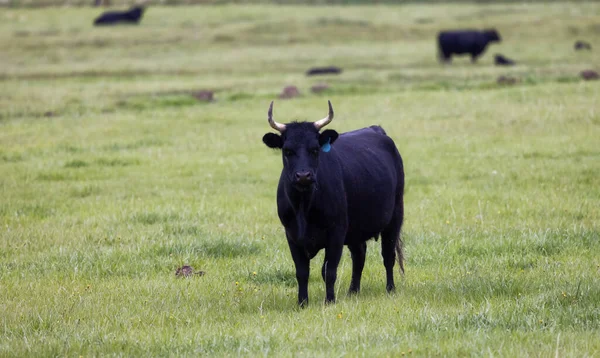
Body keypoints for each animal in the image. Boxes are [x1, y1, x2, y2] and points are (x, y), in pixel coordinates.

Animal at [262, 100, 406, 304]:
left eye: (315, 149)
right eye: (287, 150)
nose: (303, 176)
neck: (304, 207)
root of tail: (376, 129)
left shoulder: (336, 233)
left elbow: (328, 271)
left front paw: (329, 301)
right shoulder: (291, 235)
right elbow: (302, 272)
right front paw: (302, 303)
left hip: (394, 217)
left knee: (388, 256)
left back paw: (390, 289)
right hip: (356, 228)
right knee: (359, 255)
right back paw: (353, 291)